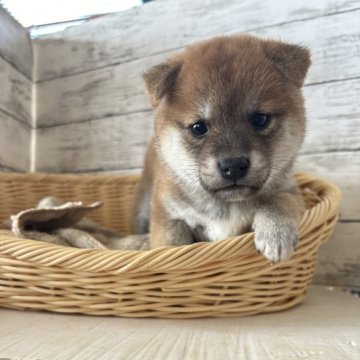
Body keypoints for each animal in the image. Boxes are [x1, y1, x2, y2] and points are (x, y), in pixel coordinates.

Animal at [131, 34, 310, 262]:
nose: (233, 166)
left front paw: (276, 234)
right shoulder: (169, 216)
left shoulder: (289, 190)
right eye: (198, 128)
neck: (227, 206)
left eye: (260, 119)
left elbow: (278, 201)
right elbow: (169, 247)